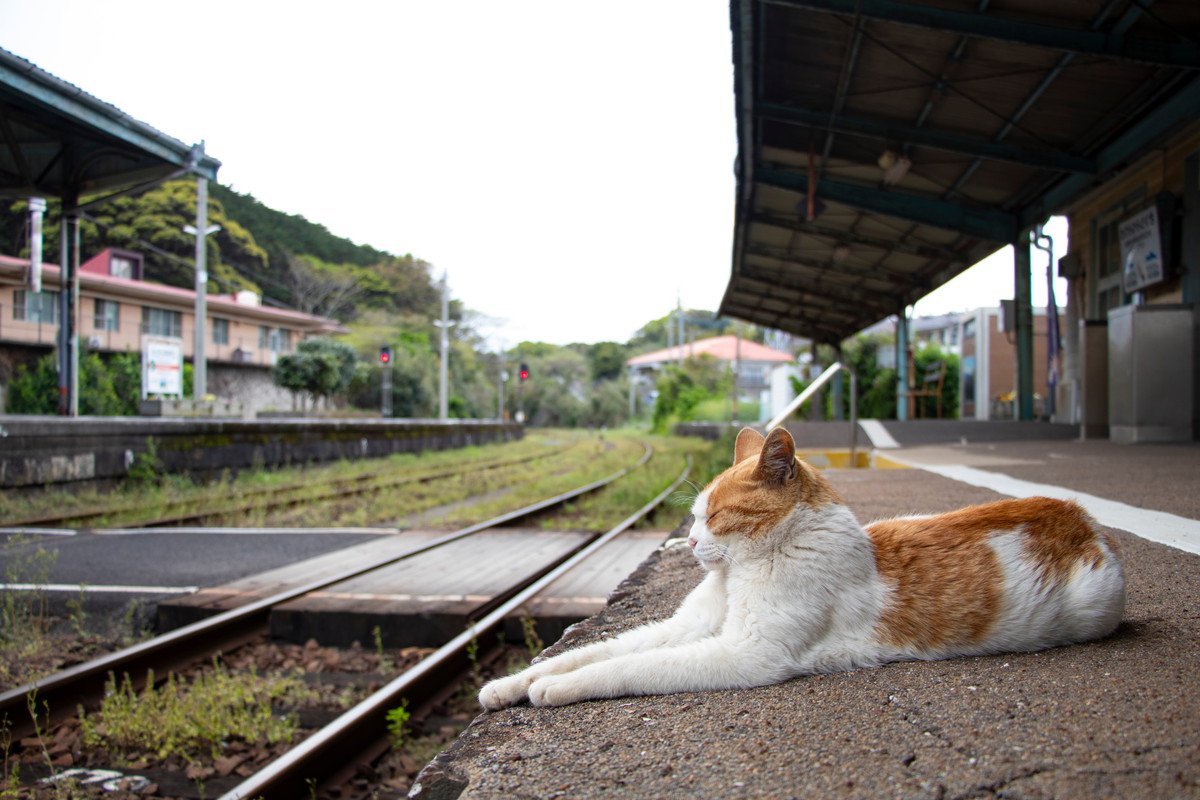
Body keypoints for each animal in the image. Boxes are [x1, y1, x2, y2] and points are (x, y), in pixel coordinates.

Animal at [480, 424, 1123, 705]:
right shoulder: (683, 628)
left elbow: (626, 668)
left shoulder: (746, 653)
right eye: (691, 516)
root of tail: (1077, 513)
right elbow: (594, 650)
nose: (689, 542)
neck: (738, 576)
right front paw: (514, 684)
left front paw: (553, 689)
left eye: (715, 517)